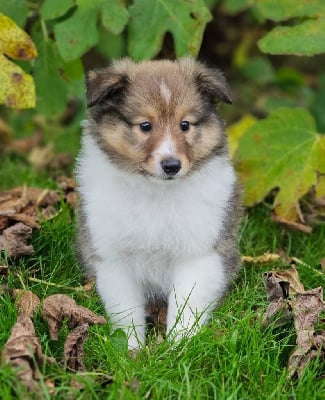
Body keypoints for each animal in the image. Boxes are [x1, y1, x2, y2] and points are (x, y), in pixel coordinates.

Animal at [74, 57, 239, 348]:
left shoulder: (199, 255)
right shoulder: (115, 259)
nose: (171, 165)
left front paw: (178, 347)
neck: (156, 192)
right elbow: (126, 311)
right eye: (145, 126)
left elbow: (186, 305)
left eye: (185, 125)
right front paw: (132, 350)